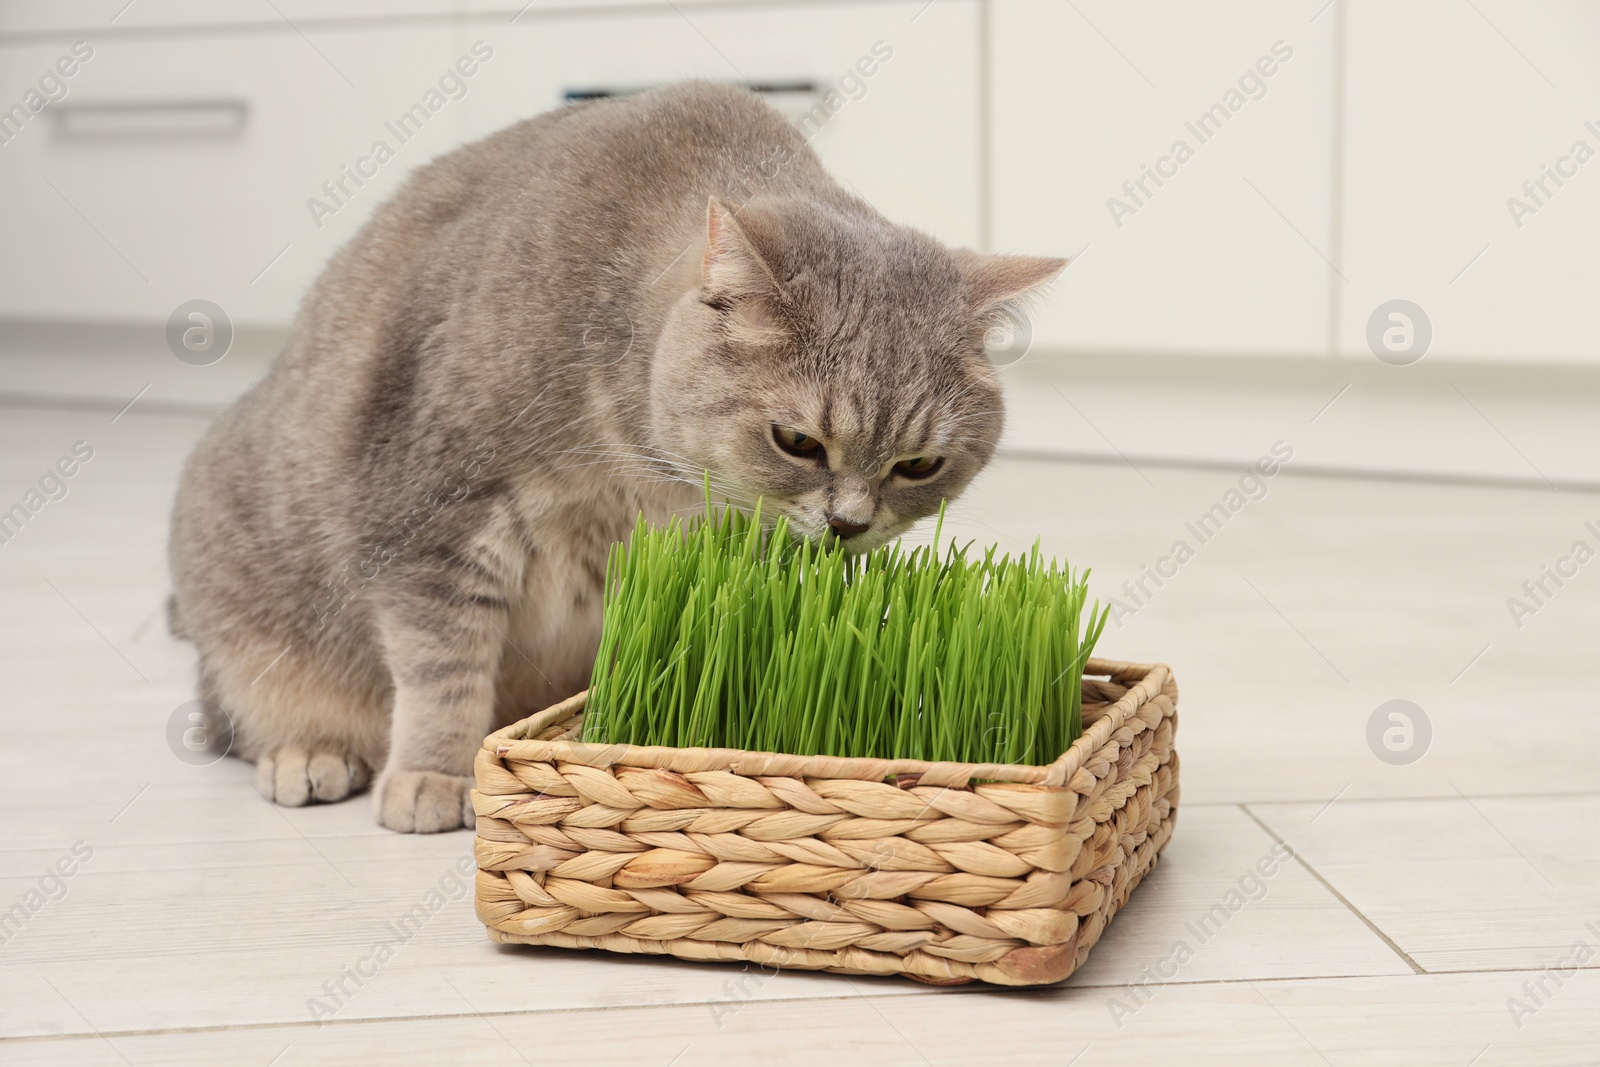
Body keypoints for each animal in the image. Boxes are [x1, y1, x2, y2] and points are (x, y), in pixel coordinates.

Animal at [165, 83, 1062, 831]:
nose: (850, 525)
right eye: (799, 442)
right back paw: (308, 751)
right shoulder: (433, 512)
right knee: (240, 716)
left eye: (918, 467)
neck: (638, 464)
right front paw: (434, 775)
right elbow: (442, 666)